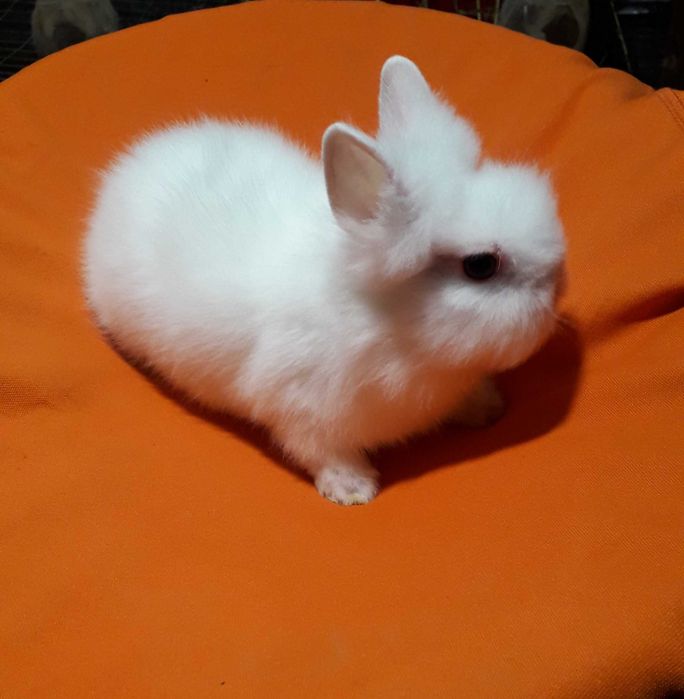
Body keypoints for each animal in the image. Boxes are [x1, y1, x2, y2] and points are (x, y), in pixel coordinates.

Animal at [83, 56, 566, 506]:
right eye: (480, 265)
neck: (394, 329)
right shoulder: (303, 410)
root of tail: (125, 170)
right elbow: (322, 452)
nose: (558, 286)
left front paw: (489, 407)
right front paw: (353, 490)